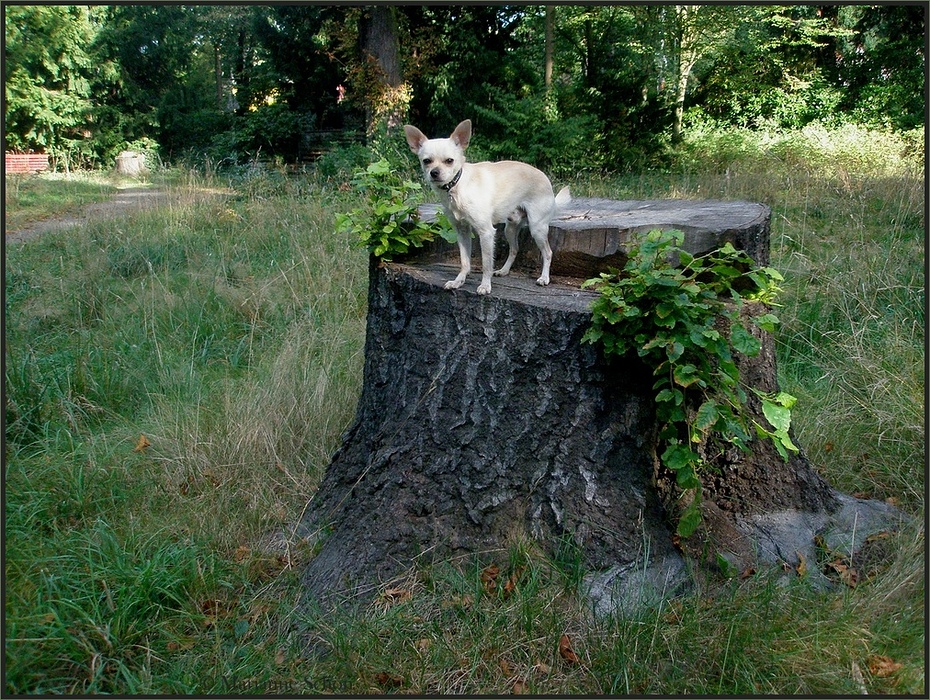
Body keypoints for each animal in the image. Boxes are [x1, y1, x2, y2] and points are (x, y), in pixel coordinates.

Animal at [402, 119, 568, 294]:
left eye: (449, 161)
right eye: (426, 161)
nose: (434, 172)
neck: (457, 186)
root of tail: (546, 180)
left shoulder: (486, 232)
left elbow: (486, 264)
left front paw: (485, 286)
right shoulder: (462, 231)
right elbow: (465, 261)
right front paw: (458, 281)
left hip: (537, 228)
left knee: (548, 252)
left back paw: (544, 278)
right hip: (510, 228)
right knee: (514, 249)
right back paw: (504, 270)